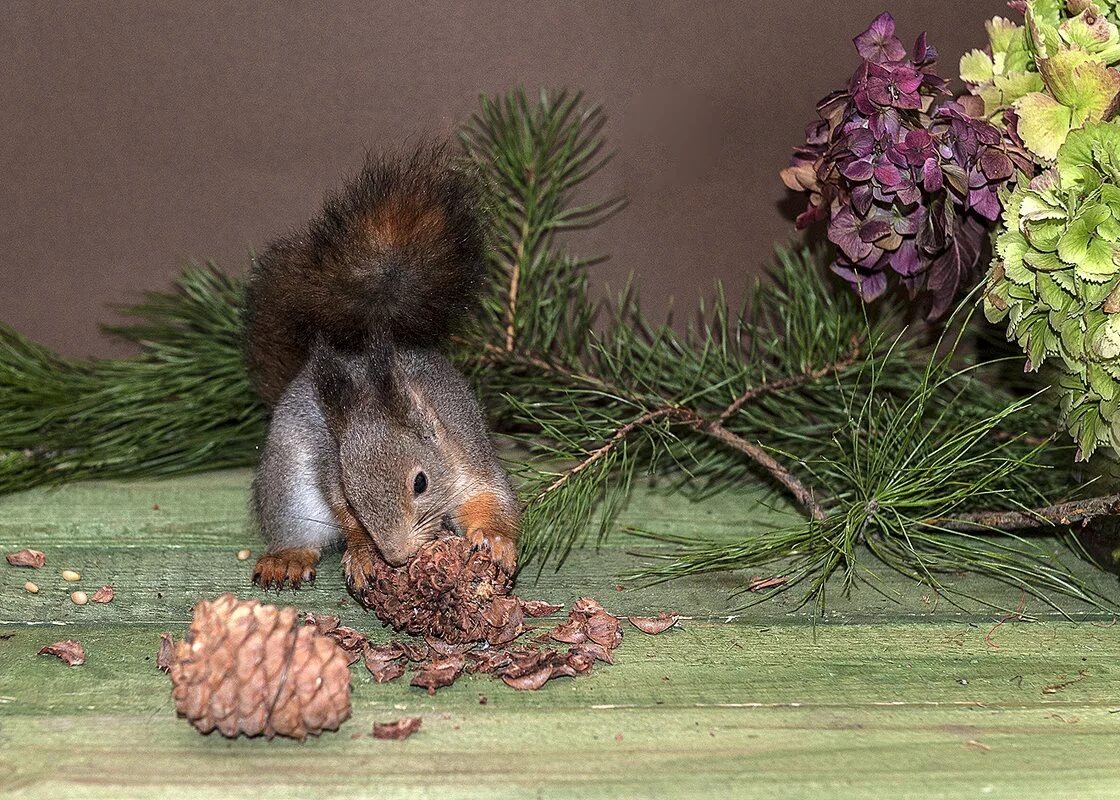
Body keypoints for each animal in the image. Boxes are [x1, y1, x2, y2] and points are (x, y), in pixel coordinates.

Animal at [244, 144, 519, 591]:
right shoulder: (330, 474)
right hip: (288, 485)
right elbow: (344, 518)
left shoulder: (469, 456)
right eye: (353, 496)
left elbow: (491, 499)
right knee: (296, 529)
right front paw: (362, 553)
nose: (397, 556)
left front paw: (496, 540)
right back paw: (288, 556)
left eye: (421, 482)